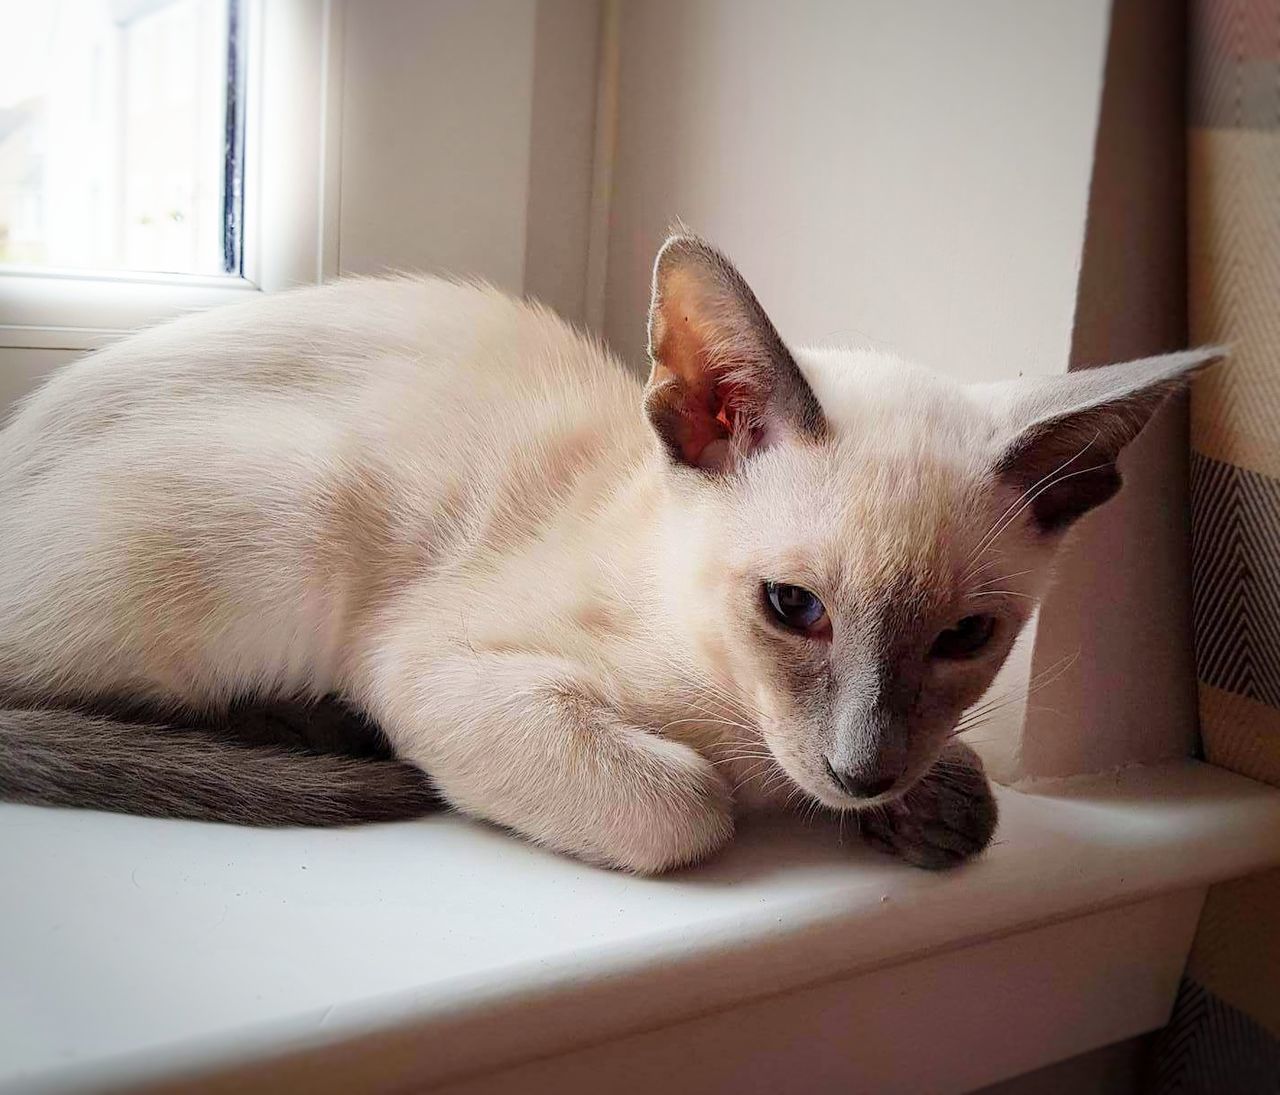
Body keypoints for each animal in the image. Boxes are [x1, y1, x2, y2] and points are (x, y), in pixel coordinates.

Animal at [0, 238, 1218, 876]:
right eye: (793, 607)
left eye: (966, 637)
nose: (861, 769)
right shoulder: (435, 664)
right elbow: (685, 807)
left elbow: (967, 798)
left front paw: (918, 812)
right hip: (298, 510)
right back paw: (305, 733)